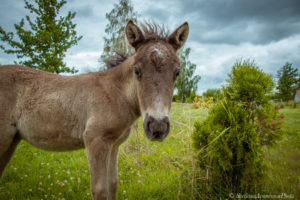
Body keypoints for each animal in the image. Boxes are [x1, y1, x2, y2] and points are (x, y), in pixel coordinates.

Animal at [0, 21, 188, 199]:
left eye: (177, 72)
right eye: (137, 70)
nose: (157, 128)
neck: (115, 93)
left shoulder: (114, 145)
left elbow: (112, 184)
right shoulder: (95, 141)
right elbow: (99, 190)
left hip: (13, 140)